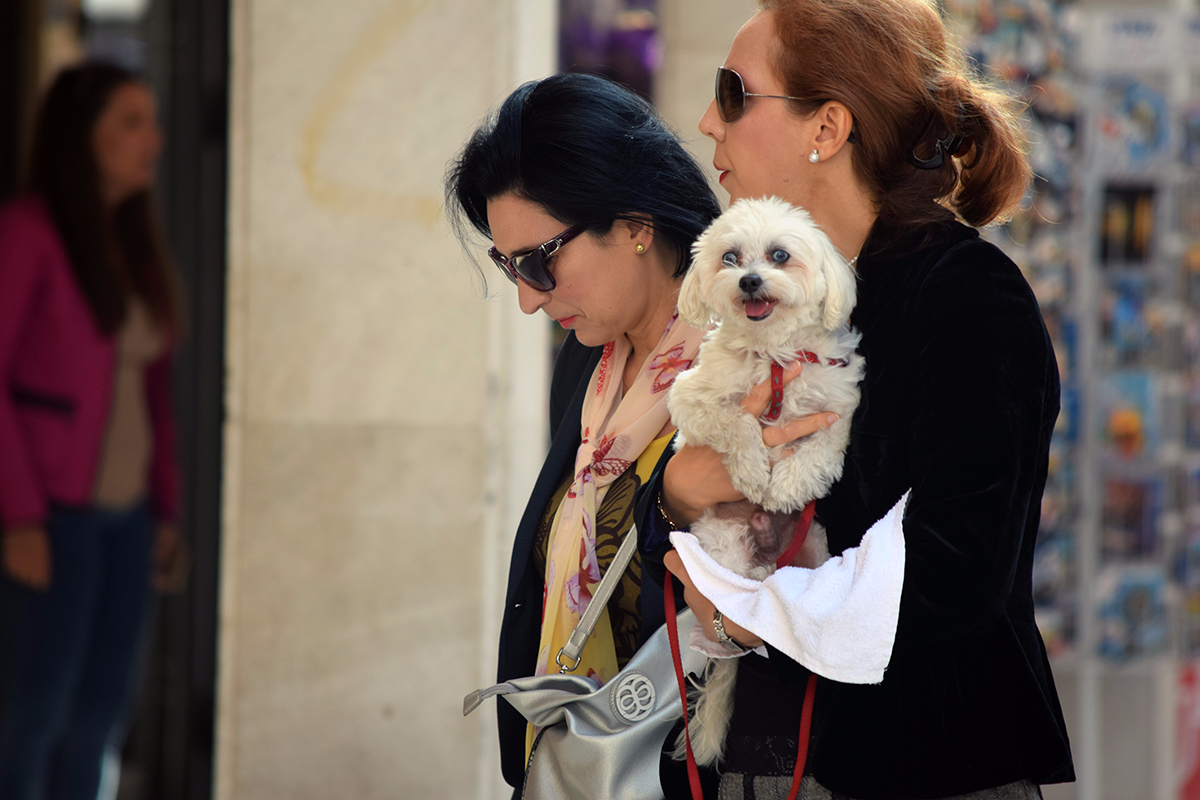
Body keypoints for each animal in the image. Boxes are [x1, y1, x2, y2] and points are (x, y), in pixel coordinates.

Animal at [666, 196, 865, 766]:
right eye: (730, 258)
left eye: (779, 255)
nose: (750, 280)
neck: (773, 356)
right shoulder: (691, 400)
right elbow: (735, 422)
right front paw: (756, 470)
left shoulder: (838, 405)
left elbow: (822, 446)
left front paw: (788, 484)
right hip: (723, 545)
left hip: (813, 549)